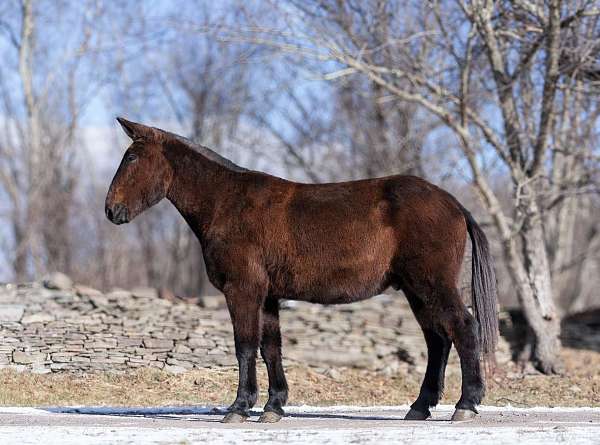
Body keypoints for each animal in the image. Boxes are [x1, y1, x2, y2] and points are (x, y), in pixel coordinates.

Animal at [104, 118, 496, 424]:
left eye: (132, 156)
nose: (111, 210)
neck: (228, 202)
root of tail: (452, 202)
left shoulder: (242, 290)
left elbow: (245, 346)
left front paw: (239, 407)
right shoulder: (267, 297)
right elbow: (270, 348)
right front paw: (273, 406)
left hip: (433, 284)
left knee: (463, 328)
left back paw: (466, 404)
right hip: (417, 291)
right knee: (438, 340)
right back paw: (420, 406)